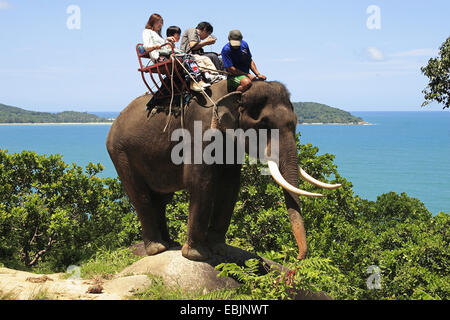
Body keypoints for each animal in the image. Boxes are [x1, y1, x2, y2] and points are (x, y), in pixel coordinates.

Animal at [105, 79, 340, 262]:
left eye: (295, 123)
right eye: (264, 124)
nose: (297, 258)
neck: (236, 90)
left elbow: (230, 184)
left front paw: (219, 249)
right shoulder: (201, 130)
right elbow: (201, 181)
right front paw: (197, 256)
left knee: (161, 199)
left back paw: (169, 243)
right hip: (120, 153)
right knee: (141, 196)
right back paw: (157, 248)